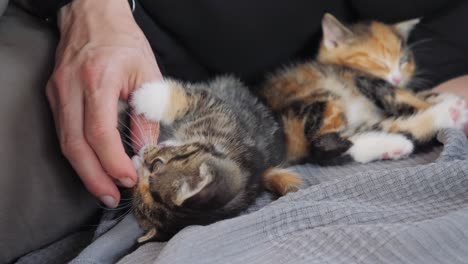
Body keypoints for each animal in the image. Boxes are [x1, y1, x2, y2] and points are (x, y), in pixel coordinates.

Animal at [128, 77, 300, 243]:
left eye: (156, 165)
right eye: (136, 192)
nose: (138, 158)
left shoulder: (218, 111)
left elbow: (190, 98)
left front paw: (146, 97)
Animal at [260, 13, 468, 165]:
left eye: (403, 61)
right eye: (379, 62)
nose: (397, 77)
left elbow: (420, 95)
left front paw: (437, 96)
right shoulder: (366, 81)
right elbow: (405, 98)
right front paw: (433, 102)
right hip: (319, 99)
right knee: (324, 145)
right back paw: (450, 113)